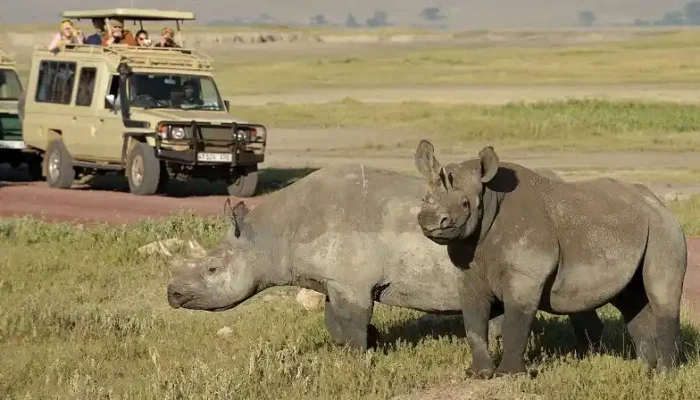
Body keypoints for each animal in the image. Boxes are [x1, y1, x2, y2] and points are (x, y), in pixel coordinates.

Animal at [166, 164, 604, 352]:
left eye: (211, 269)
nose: (172, 294)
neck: (271, 236)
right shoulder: (336, 281)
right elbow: (336, 321)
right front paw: (367, 346)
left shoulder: (351, 282)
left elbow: (350, 322)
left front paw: (359, 356)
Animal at [413, 140, 687, 378]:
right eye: (424, 199)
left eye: (464, 204)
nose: (430, 221)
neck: (489, 198)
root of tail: (659, 203)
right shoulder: (468, 269)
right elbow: (473, 321)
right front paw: (478, 374)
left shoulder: (526, 274)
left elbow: (515, 321)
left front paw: (509, 376)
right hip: (634, 228)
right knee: (630, 300)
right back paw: (643, 370)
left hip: (664, 228)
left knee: (662, 295)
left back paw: (664, 375)